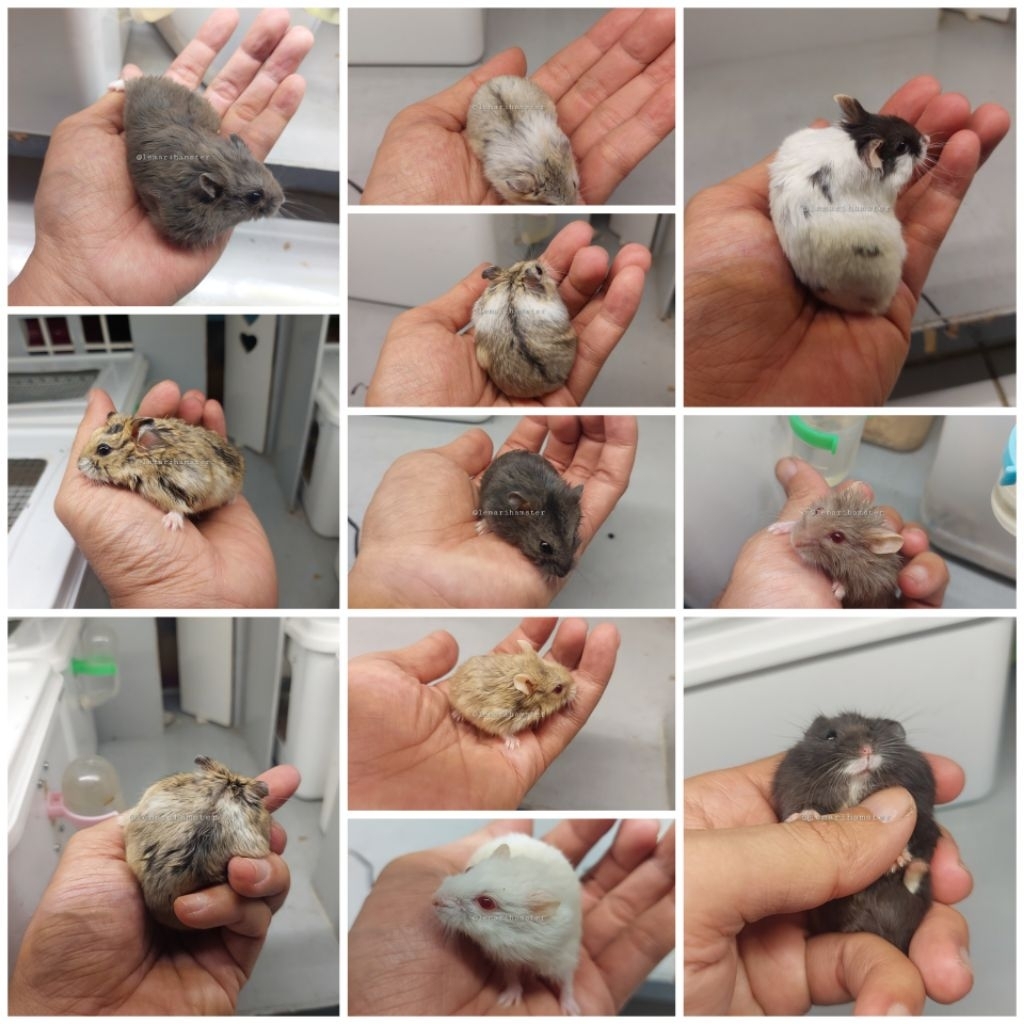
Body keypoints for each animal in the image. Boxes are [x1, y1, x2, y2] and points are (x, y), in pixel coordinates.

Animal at [433, 832, 582, 1014]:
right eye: (469, 870)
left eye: (486, 902)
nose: (434, 900)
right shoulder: (507, 960)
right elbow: (511, 978)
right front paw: (507, 1001)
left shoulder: (563, 957)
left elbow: (567, 983)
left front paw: (572, 1011)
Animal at [447, 639, 576, 749]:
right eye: (558, 689)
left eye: (553, 663)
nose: (576, 687)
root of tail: (453, 679)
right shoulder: (497, 718)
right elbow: (504, 732)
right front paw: (514, 744)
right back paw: (457, 716)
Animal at [767, 485, 905, 608]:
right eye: (818, 510)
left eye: (837, 537)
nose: (794, 541)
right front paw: (778, 528)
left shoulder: (876, 581)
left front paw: (838, 588)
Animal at [772, 712, 940, 954]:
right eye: (830, 736)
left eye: (873, 729)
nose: (866, 750)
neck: (857, 782)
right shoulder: (793, 788)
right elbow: (805, 807)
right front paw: (806, 817)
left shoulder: (922, 805)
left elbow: (915, 832)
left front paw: (896, 859)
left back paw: (913, 865)